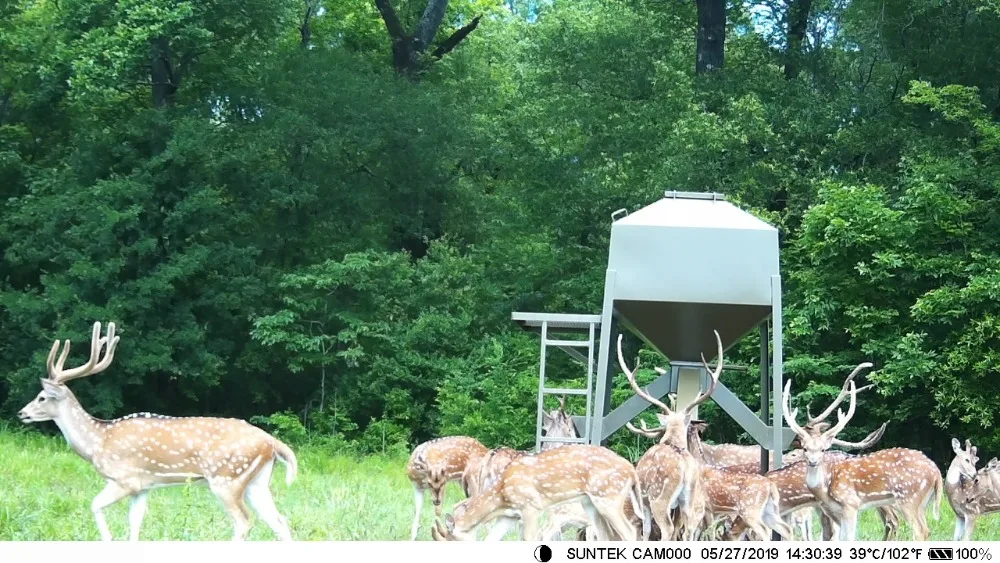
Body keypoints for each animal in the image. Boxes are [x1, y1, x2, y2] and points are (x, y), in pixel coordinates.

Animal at [17, 322, 298, 540]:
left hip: (227, 478)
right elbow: (134, 524)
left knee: (243, 522)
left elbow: (95, 506)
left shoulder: (124, 479)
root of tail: (271, 442)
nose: (22, 413)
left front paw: (108, 541)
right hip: (256, 482)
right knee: (280, 521)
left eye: (42, 397)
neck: (98, 442)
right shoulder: (144, 486)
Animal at [434, 446, 644, 540]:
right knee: (606, 536)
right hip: (590, 503)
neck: (501, 494)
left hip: (608, 497)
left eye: (451, 539)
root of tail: (632, 471)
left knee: (630, 531)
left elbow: (530, 538)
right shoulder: (510, 515)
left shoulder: (530, 506)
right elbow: (491, 538)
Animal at [612, 330, 724, 540]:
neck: (672, 441)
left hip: (659, 496)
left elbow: (647, 530)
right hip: (688, 499)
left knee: (668, 529)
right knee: (688, 529)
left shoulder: (644, 500)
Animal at [784, 366, 940, 540]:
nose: (812, 461)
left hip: (905, 499)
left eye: (796, 450)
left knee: (905, 525)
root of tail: (937, 472)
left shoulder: (843, 505)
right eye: (804, 448)